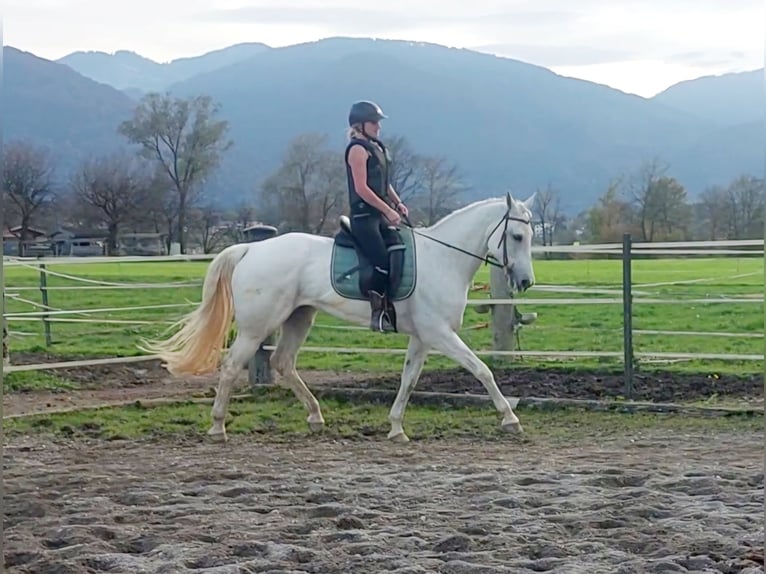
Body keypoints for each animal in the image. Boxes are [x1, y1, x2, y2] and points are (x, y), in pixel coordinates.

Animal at [146, 194, 540, 446]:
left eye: (531, 235)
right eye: (516, 235)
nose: (525, 282)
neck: (443, 258)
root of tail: (251, 248)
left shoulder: (423, 337)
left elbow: (409, 380)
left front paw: (396, 427)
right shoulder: (439, 334)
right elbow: (482, 370)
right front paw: (510, 418)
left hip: (299, 317)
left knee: (283, 362)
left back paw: (315, 417)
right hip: (258, 327)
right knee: (231, 367)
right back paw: (217, 427)